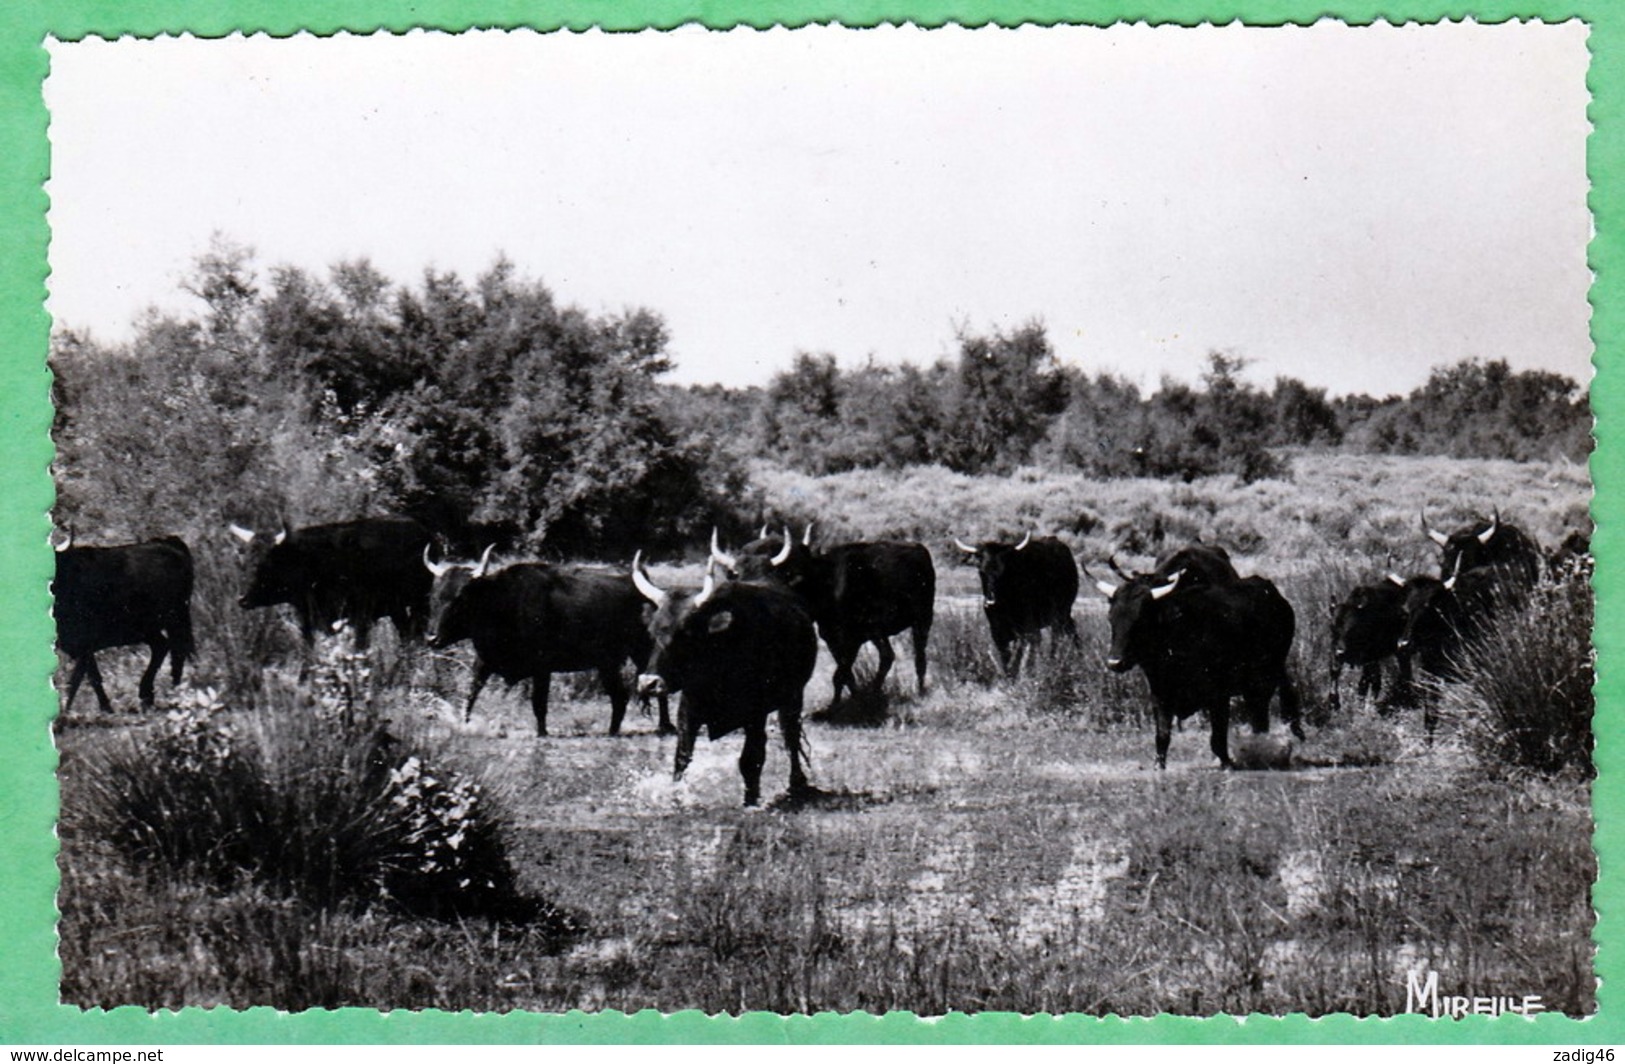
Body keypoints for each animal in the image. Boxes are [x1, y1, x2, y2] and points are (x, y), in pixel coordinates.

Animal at [55, 536, 195, 711]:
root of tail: (170, 543)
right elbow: (85, 676)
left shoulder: (84, 643)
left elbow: (84, 678)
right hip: (148, 629)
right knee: (164, 646)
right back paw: (151, 695)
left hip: (175, 618)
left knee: (177, 650)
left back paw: (170, 691)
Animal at [630, 562, 819, 802]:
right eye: (651, 631)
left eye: (685, 632)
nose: (649, 683)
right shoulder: (689, 707)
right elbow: (682, 757)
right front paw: (676, 796)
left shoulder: (755, 713)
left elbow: (751, 759)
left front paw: (751, 801)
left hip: (793, 696)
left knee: (791, 736)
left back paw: (797, 782)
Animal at [1092, 571, 1306, 769]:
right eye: (1111, 618)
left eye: (1140, 620)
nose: (1115, 662)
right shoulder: (1160, 695)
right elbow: (1162, 735)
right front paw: (1159, 766)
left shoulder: (1219, 695)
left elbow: (1218, 736)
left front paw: (1227, 763)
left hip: (1266, 678)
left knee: (1260, 717)